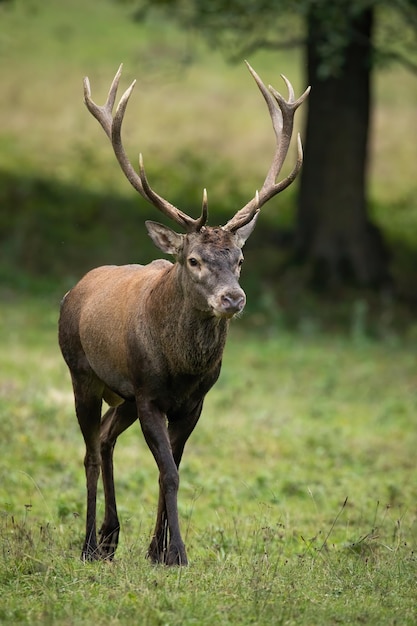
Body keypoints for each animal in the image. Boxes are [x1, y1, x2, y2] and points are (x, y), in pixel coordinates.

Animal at [58, 61, 308, 564]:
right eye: (193, 260)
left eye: (240, 258)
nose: (233, 299)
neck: (181, 370)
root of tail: (73, 291)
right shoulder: (150, 394)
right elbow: (169, 472)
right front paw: (178, 553)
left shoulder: (193, 402)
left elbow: (171, 468)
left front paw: (158, 551)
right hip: (82, 373)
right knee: (91, 450)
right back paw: (90, 543)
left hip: (123, 396)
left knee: (107, 438)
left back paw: (112, 537)